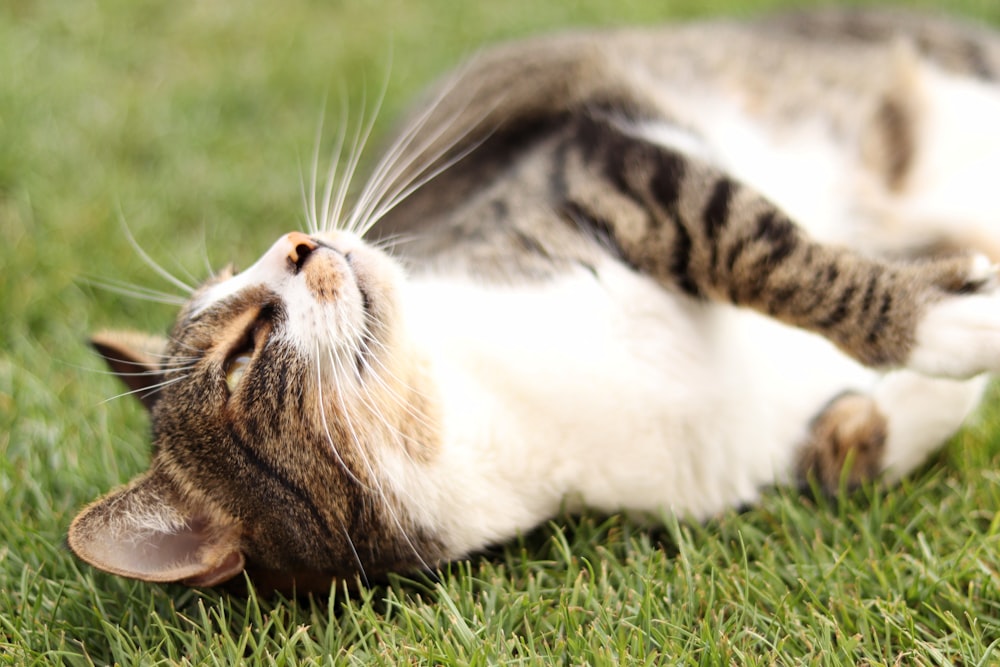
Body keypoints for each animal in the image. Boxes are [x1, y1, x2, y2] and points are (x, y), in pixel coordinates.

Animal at [70, 7, 1000, 592]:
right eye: (242, 354)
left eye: (239, 262)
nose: (299, 242)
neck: (470, 401)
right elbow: (837, 461)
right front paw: (950, 339)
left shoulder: (586, 165)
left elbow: (747, 242)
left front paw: (937, 319)